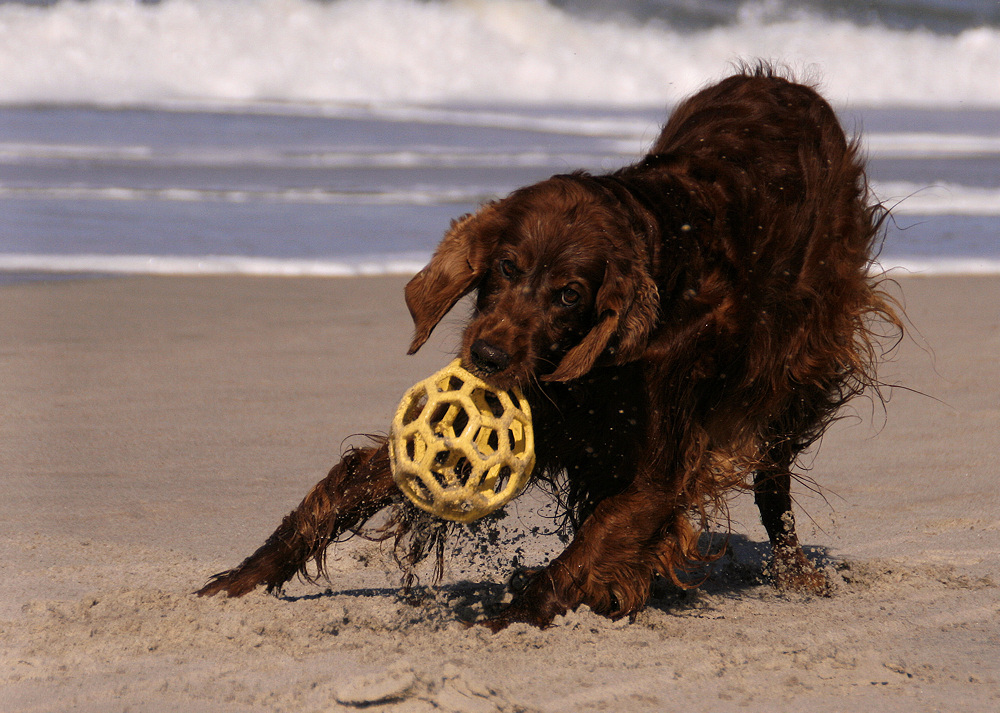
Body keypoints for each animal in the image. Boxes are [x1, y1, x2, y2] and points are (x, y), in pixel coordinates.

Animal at [199, 62, 904, 628]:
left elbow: (588, 547)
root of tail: (793, 88)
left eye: (569, 295)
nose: (487, 358)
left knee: (773, 481)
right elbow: (346, 486)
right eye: (506, 265)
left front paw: (506, 619)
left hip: (800, 367)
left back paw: (796, 573)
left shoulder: (657, 470)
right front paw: (240, 581)